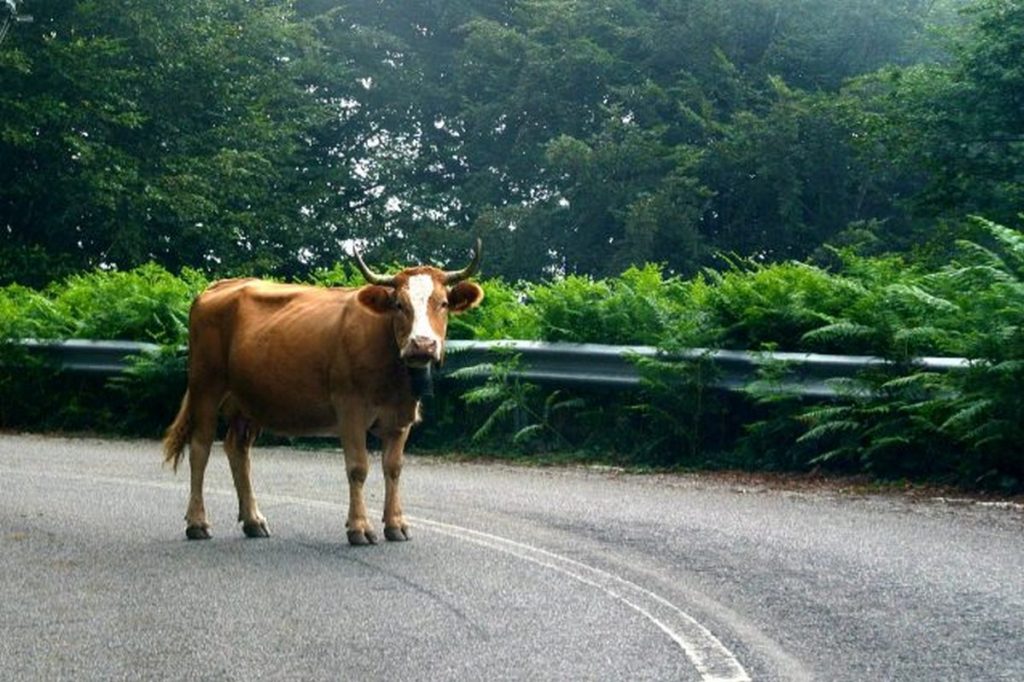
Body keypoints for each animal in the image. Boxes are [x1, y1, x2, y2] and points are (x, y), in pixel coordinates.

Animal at [161, 238, 485, 540]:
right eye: (399, 305)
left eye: (443, 303)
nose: (422, 344)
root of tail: (220, 286)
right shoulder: (350, 409)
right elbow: (358, 467)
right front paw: (359, 527)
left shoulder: (400, 417)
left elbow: (393, 468)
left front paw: (395, 524)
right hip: (206, 384)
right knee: (200, 448)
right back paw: (197, 522)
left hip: (247, 400)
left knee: (237, 449)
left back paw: (253, 520)